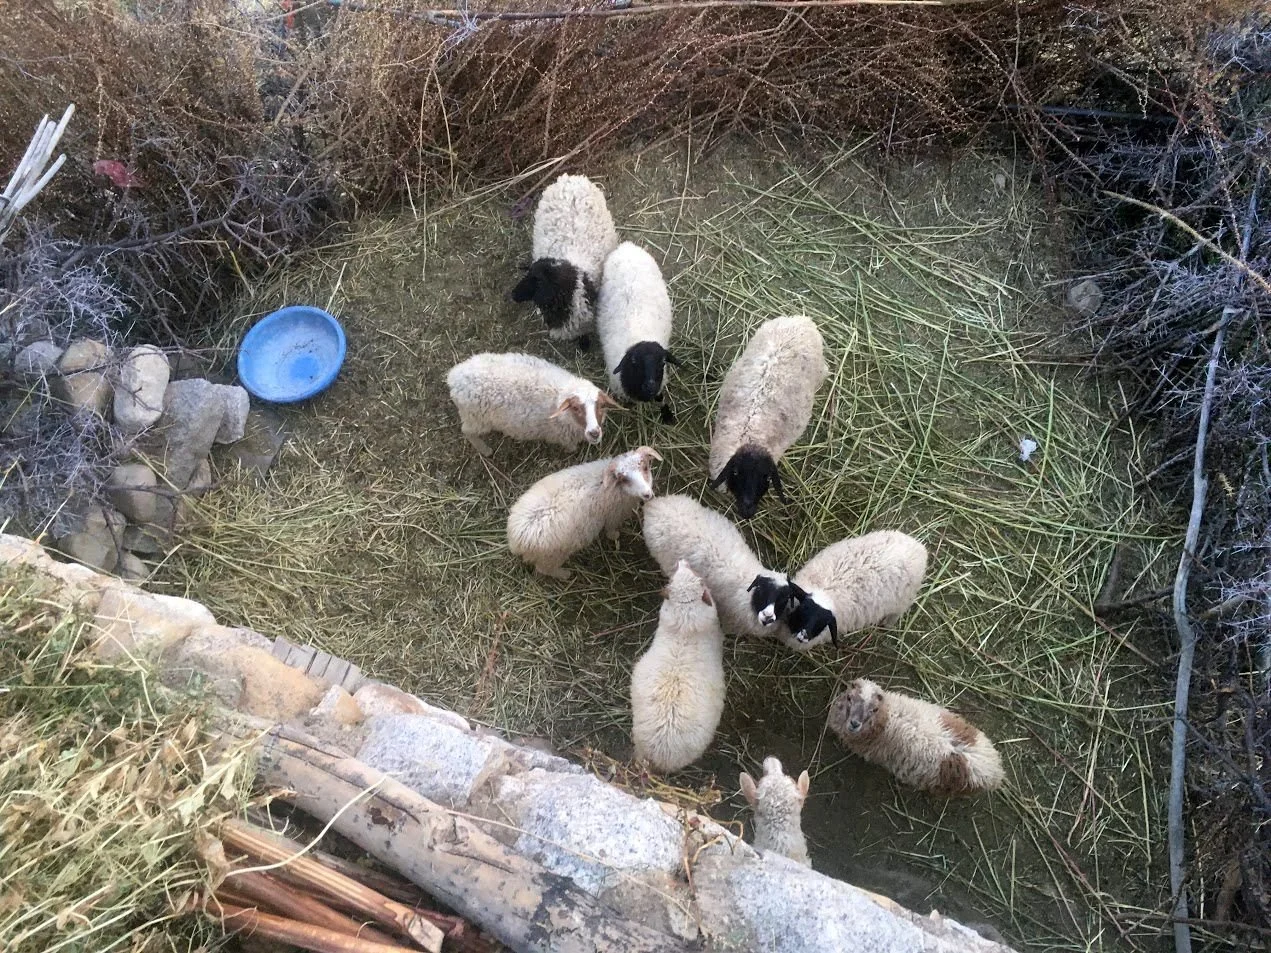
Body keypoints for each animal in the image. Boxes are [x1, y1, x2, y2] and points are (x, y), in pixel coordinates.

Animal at [446, 352, 621, 455]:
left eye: (600, 405)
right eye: (576, 407)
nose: (594, 433)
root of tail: (454, 377)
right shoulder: (563, 436)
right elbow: (570, 447)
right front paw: (571, 451)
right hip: (475, 418)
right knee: (467, 431)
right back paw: (485, 450)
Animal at [507, 446, 661, 580]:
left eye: (645, 467)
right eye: (624, 479)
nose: (647, 494)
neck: (613, 487)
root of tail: (516, 542)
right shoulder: (613, 516)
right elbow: (611, 530)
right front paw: (615, 536)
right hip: (552, 556)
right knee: (544, 569)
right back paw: (565, 574)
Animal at [784, 530, 928, 650]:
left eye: (823, 623)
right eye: (803, 609)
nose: (803, 636)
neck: (826, 591)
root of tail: (919, 547)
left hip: (903, 600)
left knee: (897, 613)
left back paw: (887, 624)